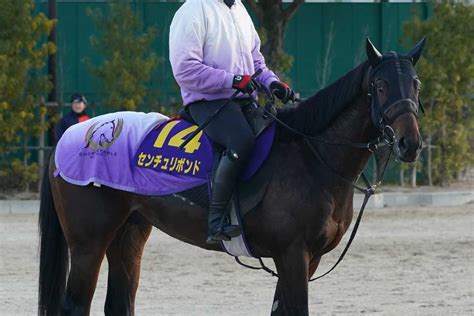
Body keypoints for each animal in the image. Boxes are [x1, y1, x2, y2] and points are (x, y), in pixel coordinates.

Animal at [38, 38, 426, 314]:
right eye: (381, 86)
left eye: (416, 84)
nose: (409, 143)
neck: (312, 157)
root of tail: (73, 134)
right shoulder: (293, 254)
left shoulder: (306, 259)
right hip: (89, 243)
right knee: (75, 306)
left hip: (129, 234)